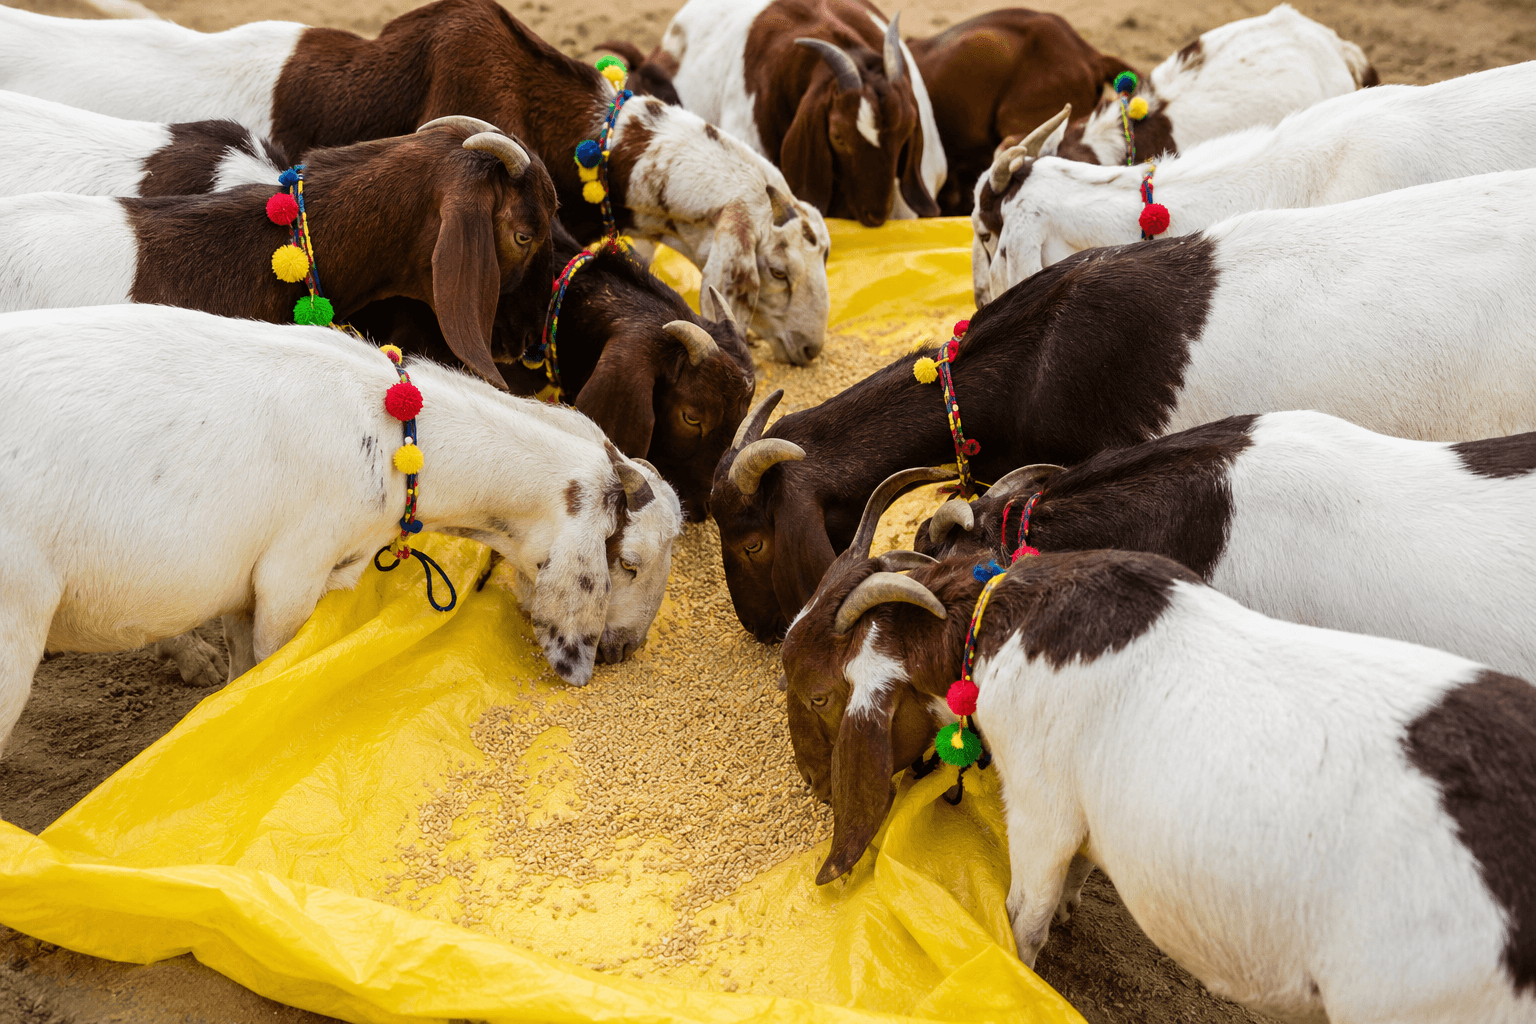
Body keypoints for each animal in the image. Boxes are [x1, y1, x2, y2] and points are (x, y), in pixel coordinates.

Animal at [1, 303, 683, 749]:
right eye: (629, 562)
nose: (626, 650)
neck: (397, 430)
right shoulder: (292, 573)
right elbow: (269, 665)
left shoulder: (246, 584)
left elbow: (241, 676)